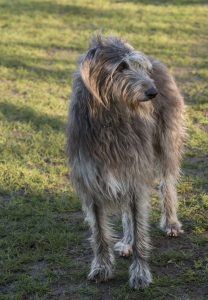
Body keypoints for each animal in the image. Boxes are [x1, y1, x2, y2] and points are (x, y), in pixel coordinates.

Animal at [67, 35, 186, 290]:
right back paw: (127, 241)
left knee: (167, 183)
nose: (153, 92)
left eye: (140, 66)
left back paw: (171, 223)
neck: (109, 119)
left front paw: (140, 273)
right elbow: (100, 233)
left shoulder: (135, 174)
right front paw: (102, 268)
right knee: (127, 211)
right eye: (121, 67)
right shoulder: (93, 183)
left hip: (165, 142)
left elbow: (141, 228)